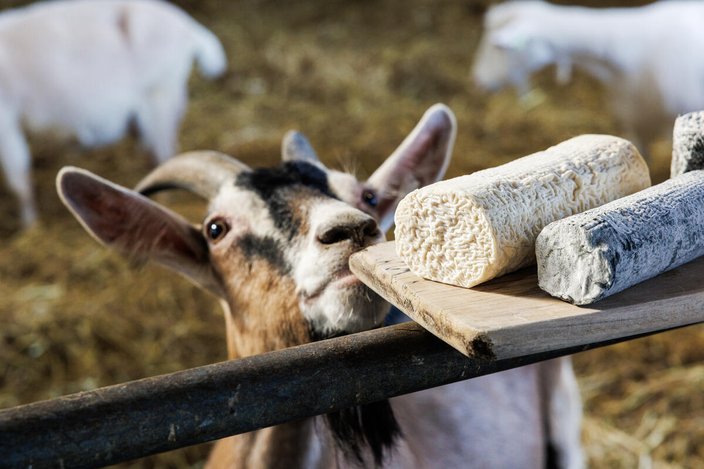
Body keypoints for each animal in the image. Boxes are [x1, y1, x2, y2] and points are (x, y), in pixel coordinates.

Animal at [0, 0, 226, 227]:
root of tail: (188, 27)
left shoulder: (7, 122)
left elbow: (19, 180)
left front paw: (30, 225)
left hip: (160, 95)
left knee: (164, 153)